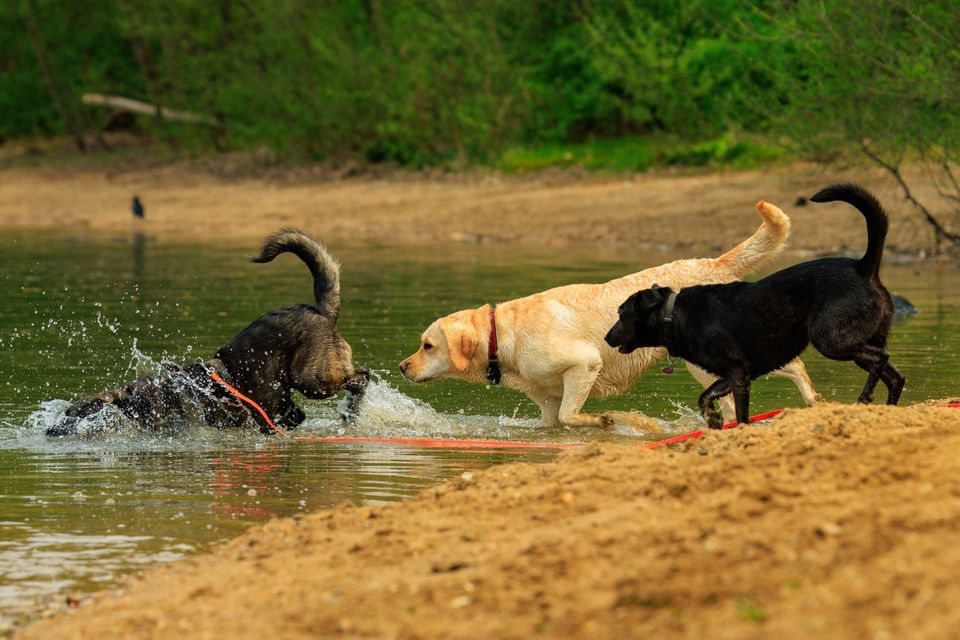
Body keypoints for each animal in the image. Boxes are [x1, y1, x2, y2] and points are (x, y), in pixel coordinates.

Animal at [47, 232, 372, 438]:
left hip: (311, 379)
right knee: (294, 414)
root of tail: (320, 310)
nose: (49, 430)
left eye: (75, 415)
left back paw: (351, 411)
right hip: (281, 389)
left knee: (361, 377)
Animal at [604, 182, 904, 428]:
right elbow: (705, 397)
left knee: (880, 360)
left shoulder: (737, 375)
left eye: (621, 314)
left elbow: (740, 414)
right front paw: (713, 419)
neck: (673, 313)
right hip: (858, 340)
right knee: (895, 377)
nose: (607, 337)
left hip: (832, 341)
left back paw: (864, 398)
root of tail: (863, 267)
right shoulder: (733, 373)